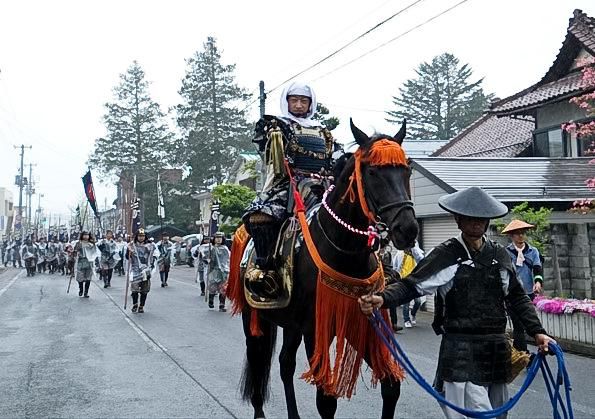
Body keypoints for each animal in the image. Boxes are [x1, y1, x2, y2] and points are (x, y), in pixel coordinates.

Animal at [239, 120, 420, 418]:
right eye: (372, 171)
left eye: (406, 169)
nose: (407, 229)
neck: (345, 251)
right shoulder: (316, 328)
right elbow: (326, 400)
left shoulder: (362, 318)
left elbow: (391, 387)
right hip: (254, 314)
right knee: (257, 358)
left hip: (291, 323)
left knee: (285, 364)